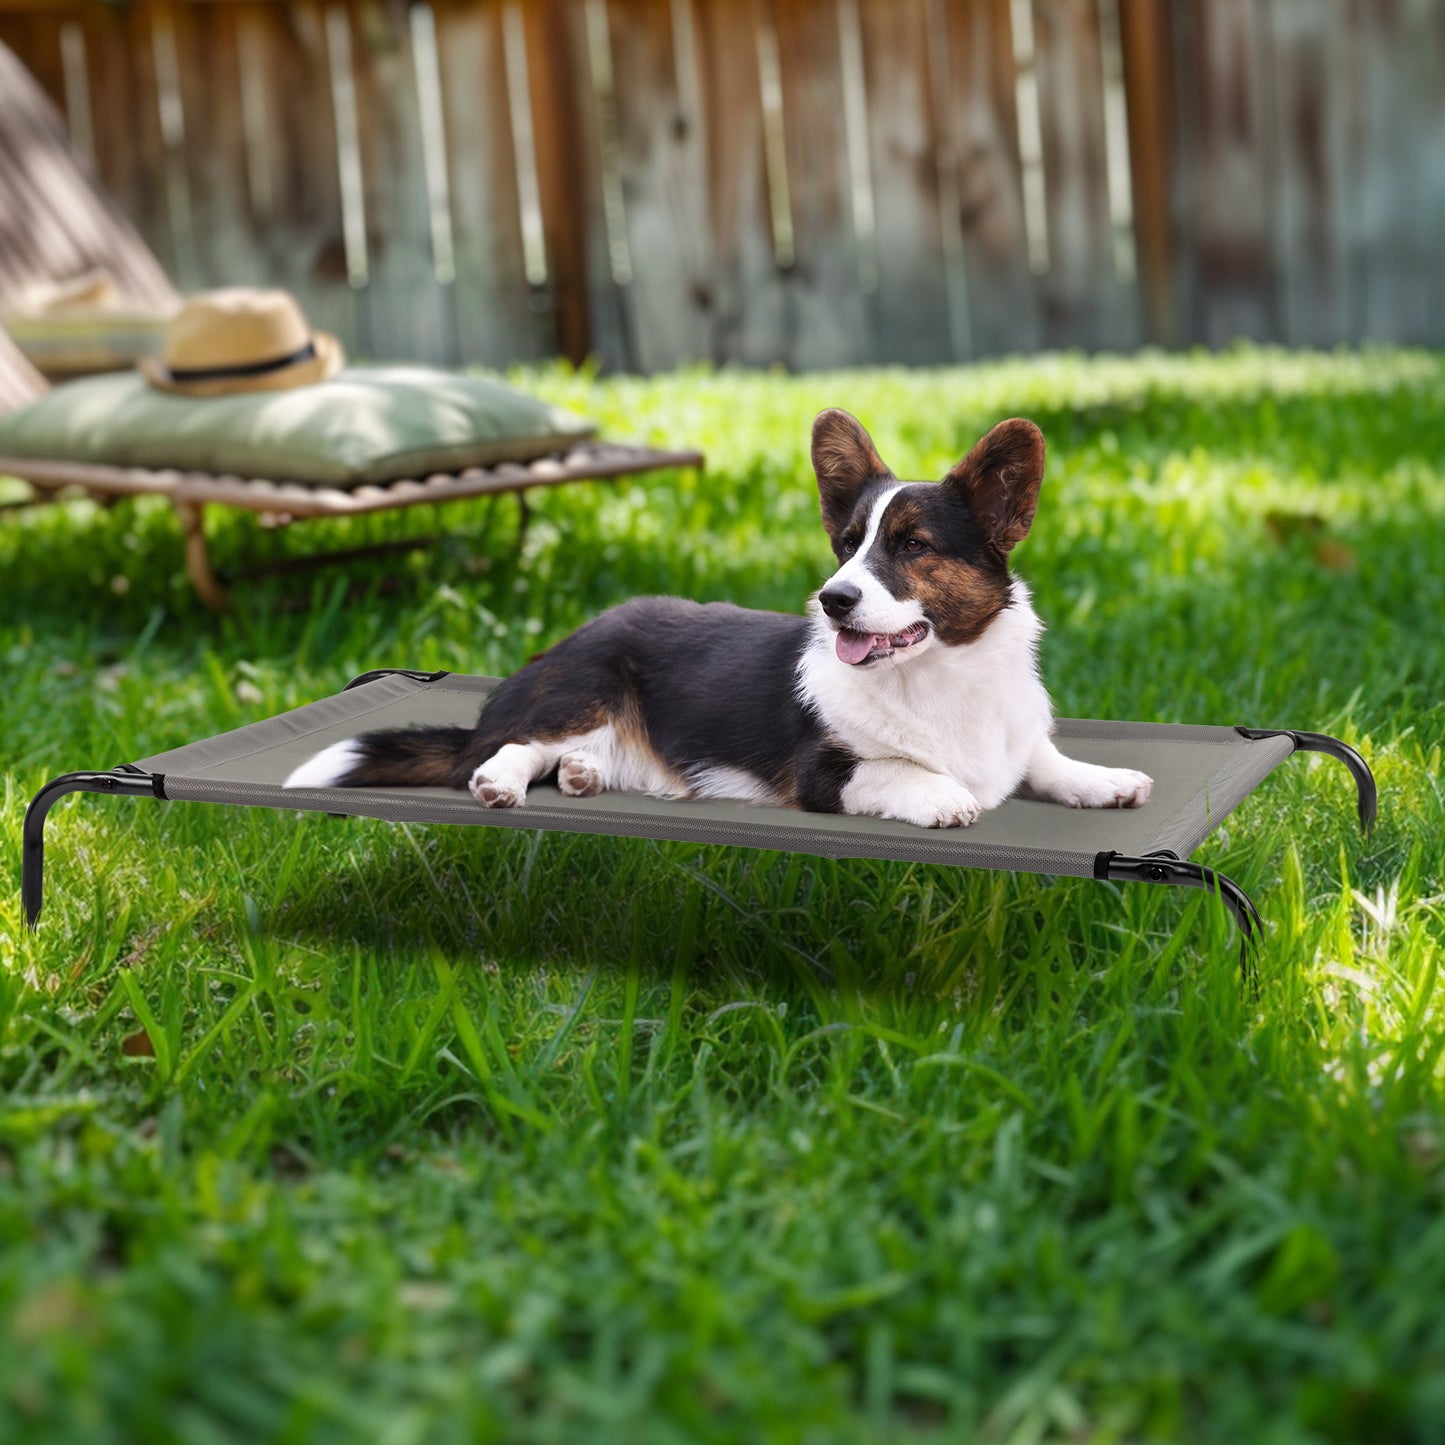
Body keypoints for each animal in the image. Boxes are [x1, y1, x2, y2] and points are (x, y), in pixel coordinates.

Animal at [284, 413, 1150, 832]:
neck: (936, 677)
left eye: (912, 545)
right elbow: (904, 771)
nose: (832, 599)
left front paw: (1105, 779)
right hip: (584, 685)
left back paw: (585, 775)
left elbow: (1045, 758)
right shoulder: (824, 772)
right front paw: (945, 796)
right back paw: (506, 780)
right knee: (503, 748)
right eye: (847, 544)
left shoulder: (1017, 738)